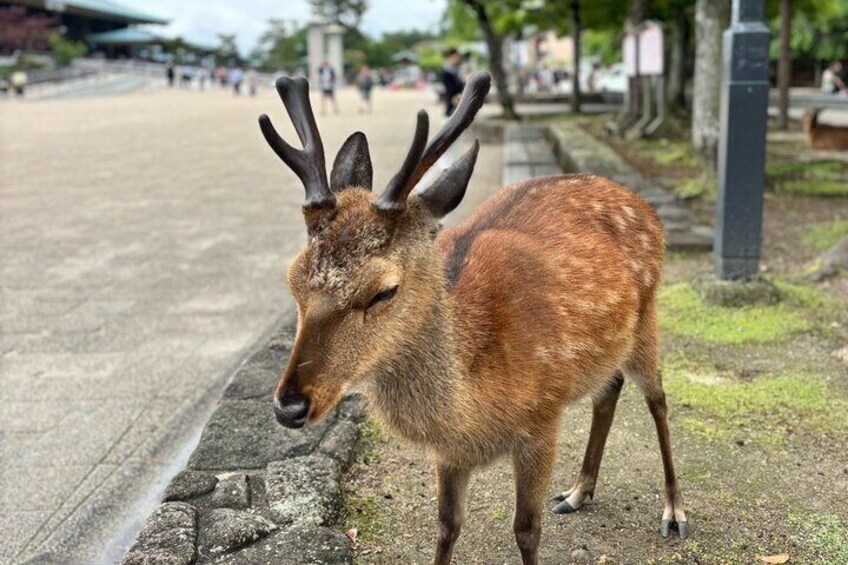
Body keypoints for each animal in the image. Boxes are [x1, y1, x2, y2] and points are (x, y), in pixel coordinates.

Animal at [260, 71, 688, 564]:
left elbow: (526, 529)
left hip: (649, 316)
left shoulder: (543, 419)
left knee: (658, 399)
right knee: (609, 389)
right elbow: (447, 526)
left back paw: (675, 511)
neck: (474, 409)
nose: (290, 405)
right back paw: (578, 492)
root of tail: (642, 203)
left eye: (384, 290)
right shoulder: (449, 453)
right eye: (293, 279)